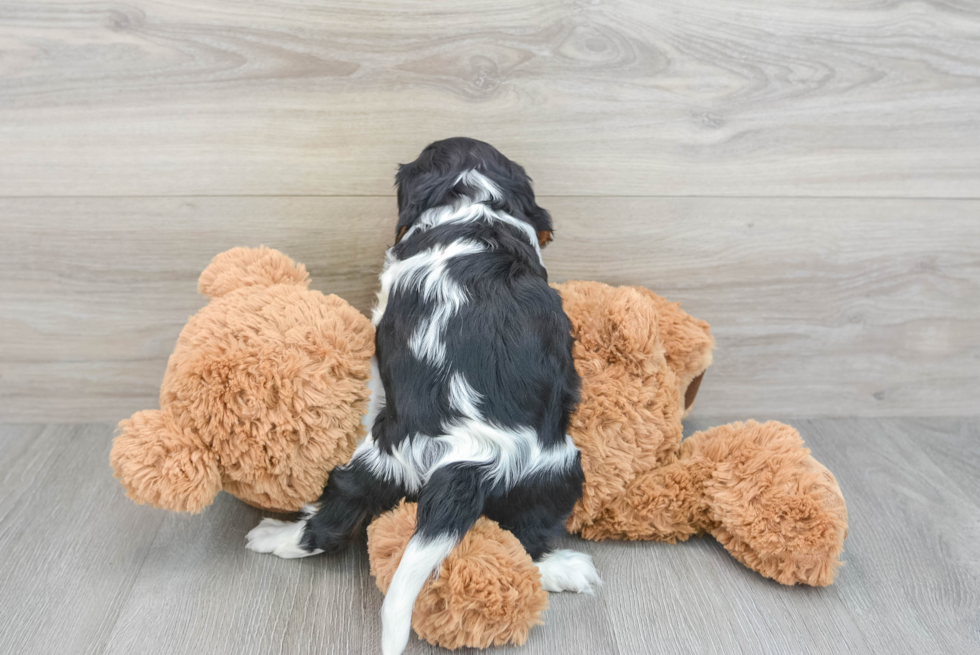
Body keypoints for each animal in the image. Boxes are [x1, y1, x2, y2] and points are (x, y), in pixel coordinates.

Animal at [245, 138, 600, 655]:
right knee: (526, 537)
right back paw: (563, 569)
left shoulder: (382, 326)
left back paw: (274, 536)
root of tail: (472, 455)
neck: (476, 204)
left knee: (331, 522)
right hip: (556, 471)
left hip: (377, 457)